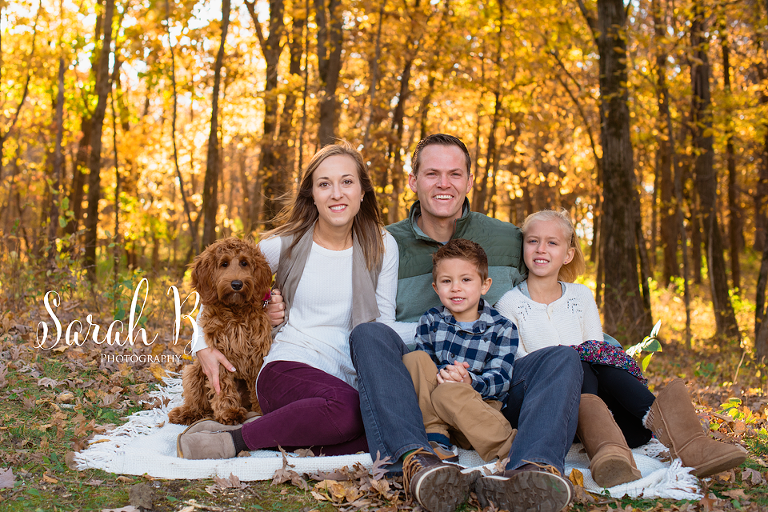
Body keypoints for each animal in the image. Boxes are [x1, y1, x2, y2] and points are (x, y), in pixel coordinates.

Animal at [168, 237, 273, 426]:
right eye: (224, 264)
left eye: (244, 263)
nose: (237, 284)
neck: (235, 310)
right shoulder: (218, 358)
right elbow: (223, 387)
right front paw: (229, 412)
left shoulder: (257, 355)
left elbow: (257, 385)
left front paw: (261, 411)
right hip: (193, 371)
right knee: (197, 402)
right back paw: (186, 413)